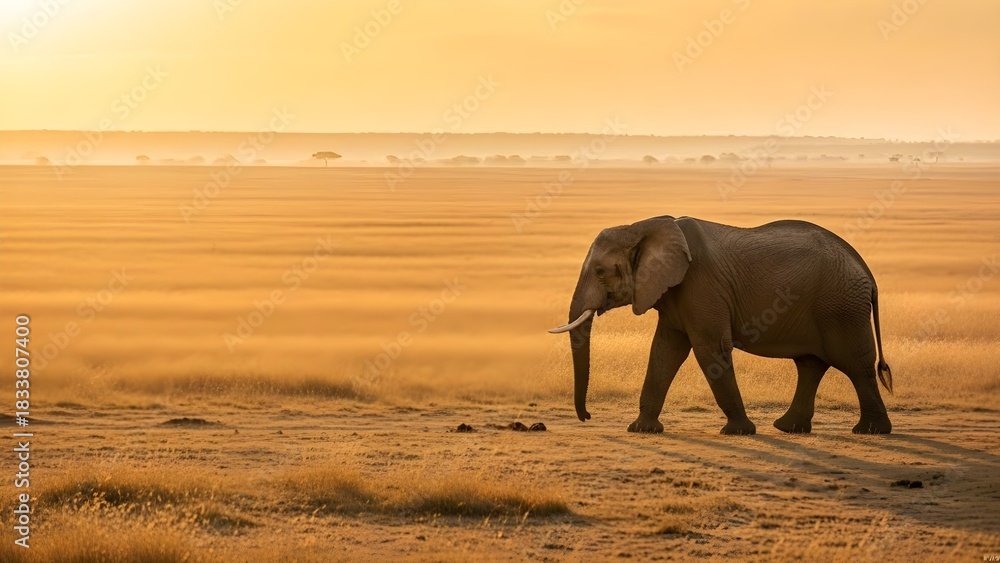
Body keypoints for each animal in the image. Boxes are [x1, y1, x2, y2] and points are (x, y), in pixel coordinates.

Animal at [549, 216, 893, 435]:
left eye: (600, 271)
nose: (587, 417)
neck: (643, 226)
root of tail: (866, 270)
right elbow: (665, 352)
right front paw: (642, 430)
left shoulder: (701, 285)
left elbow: (709, 350)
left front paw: (738, 432)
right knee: (811, 365)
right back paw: (789, 428)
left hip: (841, 307)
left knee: (855, 364)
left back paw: (870, 431)